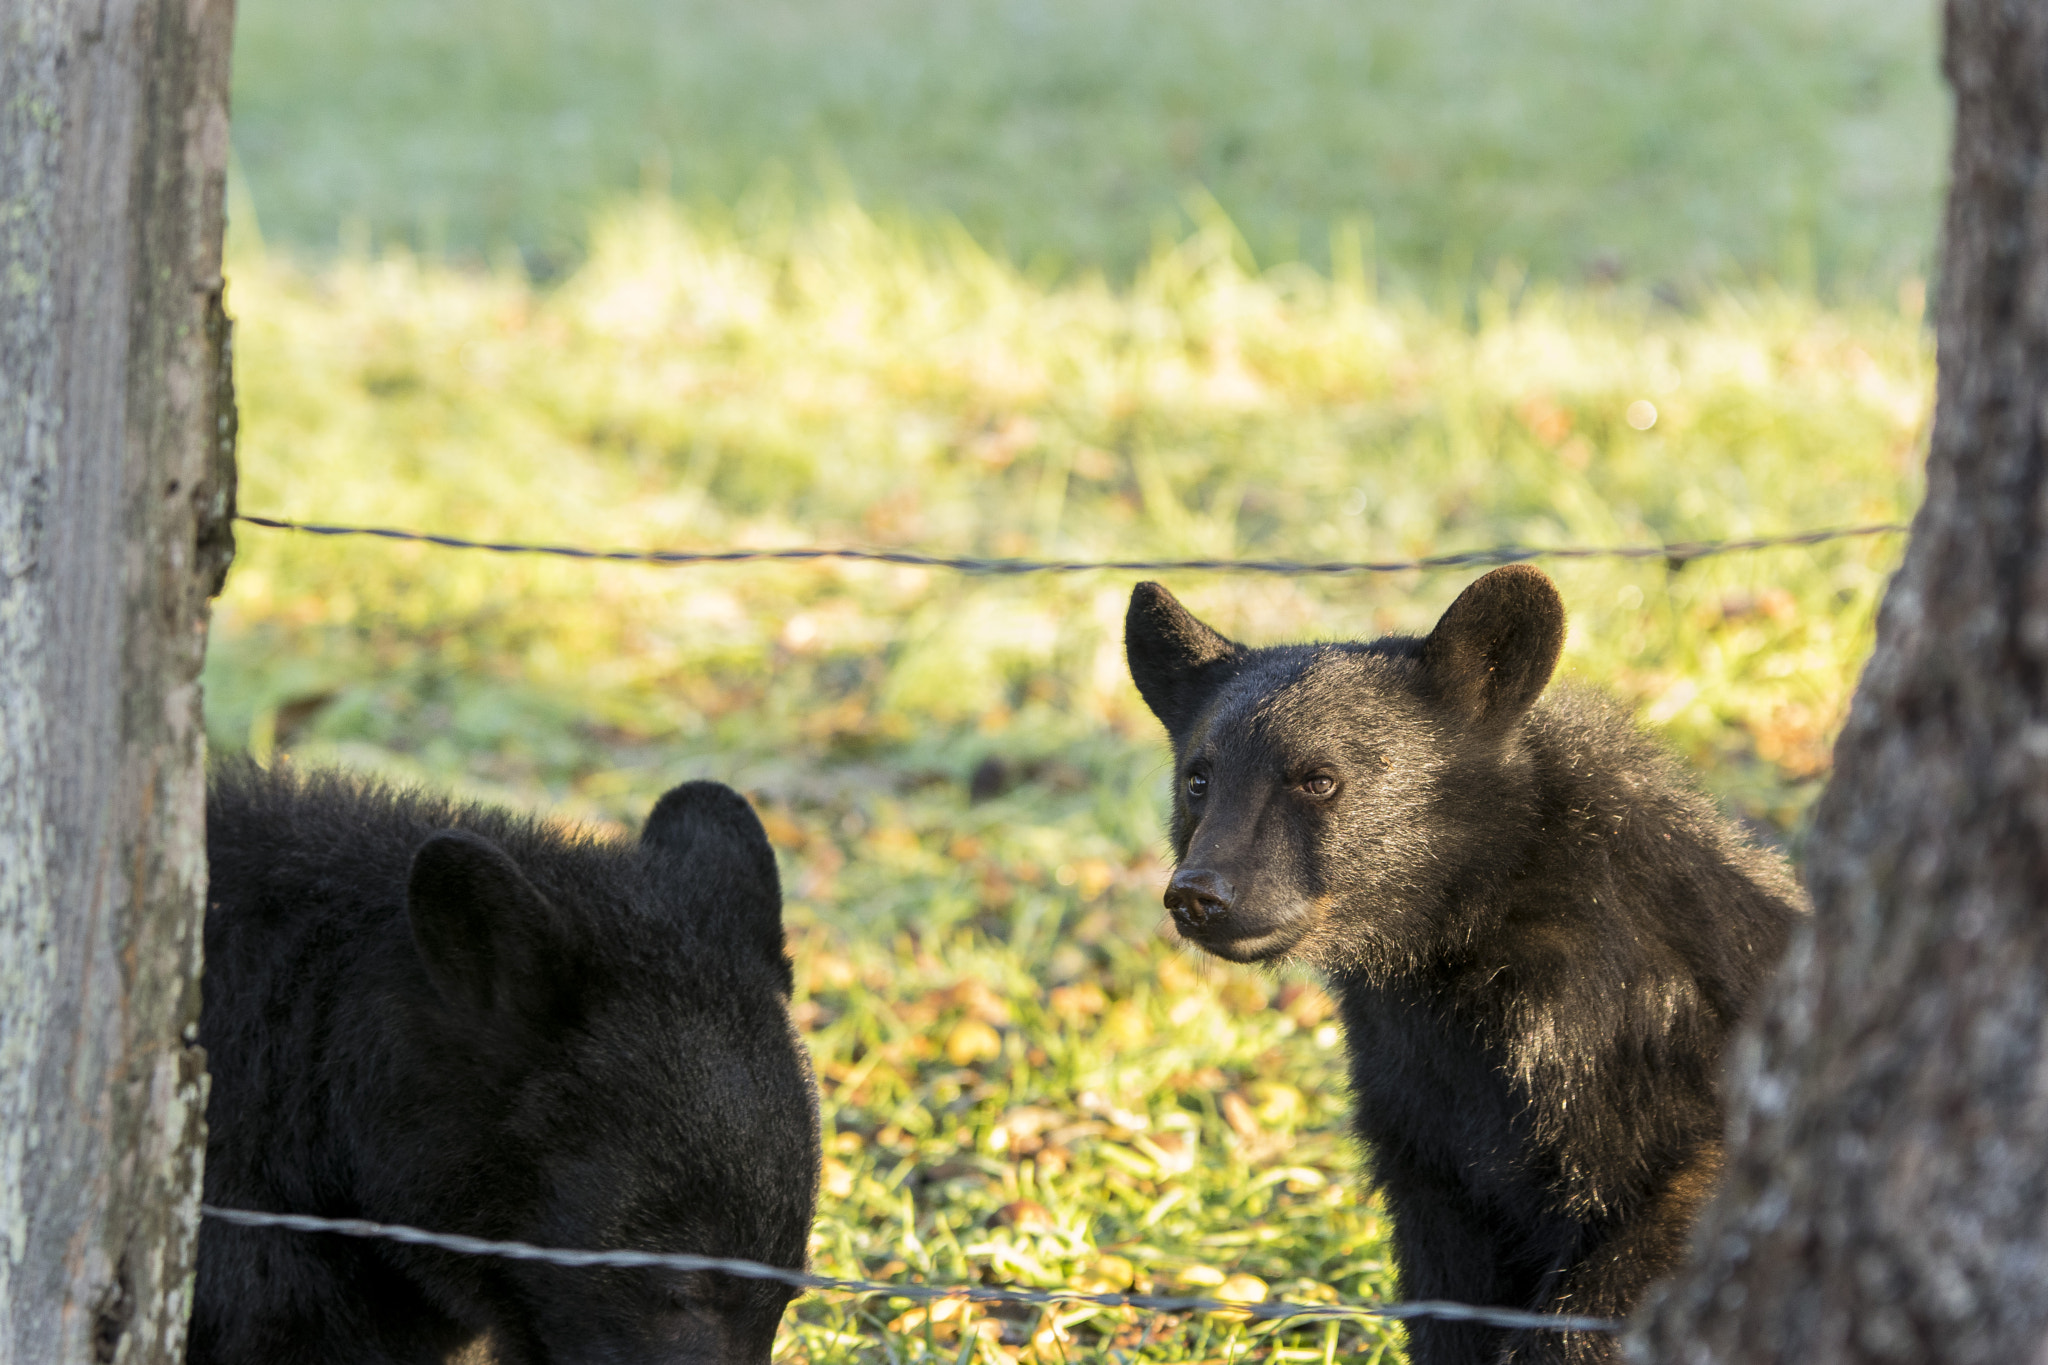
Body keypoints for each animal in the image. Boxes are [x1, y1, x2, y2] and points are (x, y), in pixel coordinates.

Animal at [1123, 566, 1804, 1365]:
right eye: (1198, 780)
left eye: (1319, 779)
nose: (1198, 894)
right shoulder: (1424, 1122)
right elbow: (1447, 1291)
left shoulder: (1665, 1093)